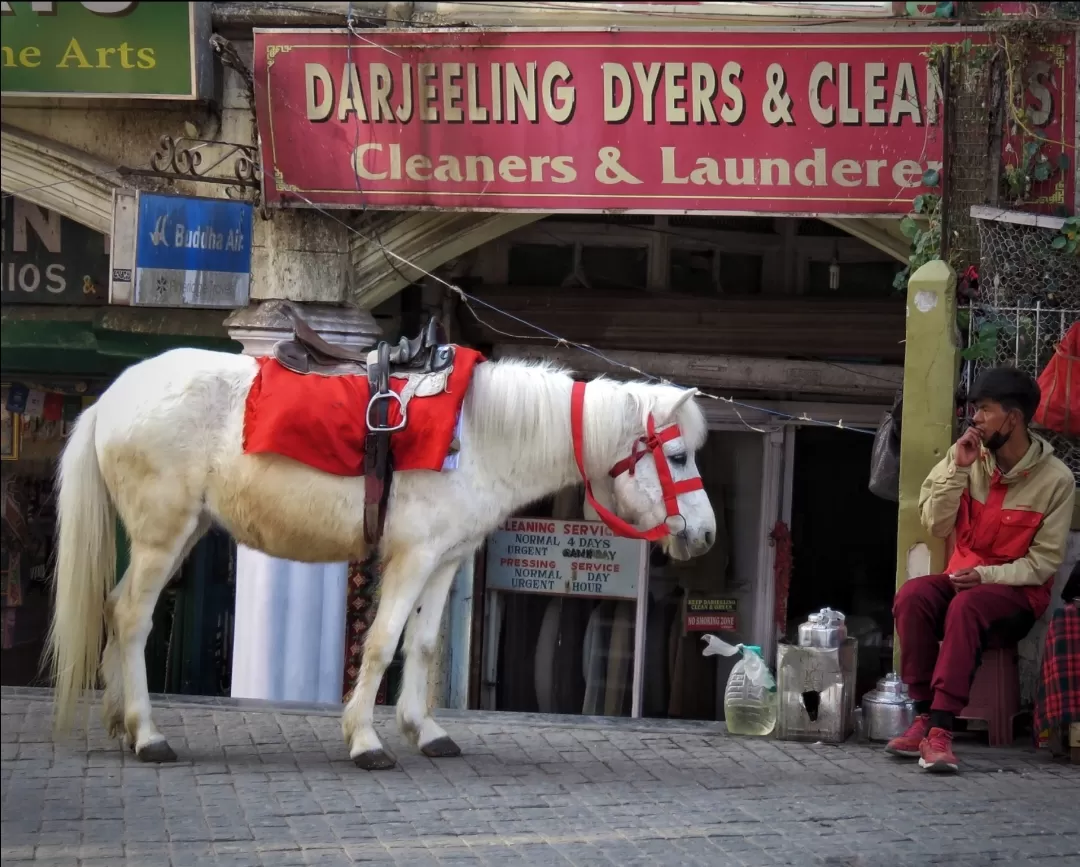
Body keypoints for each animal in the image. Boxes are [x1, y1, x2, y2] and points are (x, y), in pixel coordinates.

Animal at [48, 343, 717, 764]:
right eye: (678, 455)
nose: (706, 534)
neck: (478, 437)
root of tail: (110, 399)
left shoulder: (446, 560)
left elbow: (420, 645)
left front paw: (424, 730)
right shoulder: (412, 558)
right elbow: (381, 644)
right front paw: (365, 740)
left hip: (182, 533)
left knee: (115, 610)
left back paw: (123, 725)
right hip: (163, 536)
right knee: (132, 618)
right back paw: (148, 733)